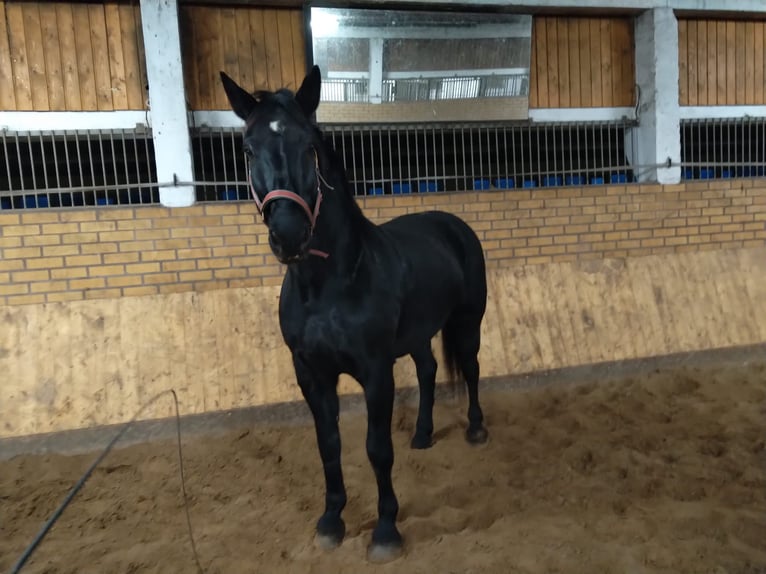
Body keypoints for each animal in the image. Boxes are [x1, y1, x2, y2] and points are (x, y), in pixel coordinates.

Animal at [219, 66, 488, 564]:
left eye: (309, 145)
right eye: (247, 149)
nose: (289, 234)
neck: (328, 286)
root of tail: (453, 224)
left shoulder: (375, 371)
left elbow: (377, 448)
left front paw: (385, 532)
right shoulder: (311, 373)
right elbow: (329, 445)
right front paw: (331, 522)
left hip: (468, 322)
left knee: (472, 368)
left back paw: (477, 430)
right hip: (418, 334)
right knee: (428, 370)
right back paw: (422, 435)